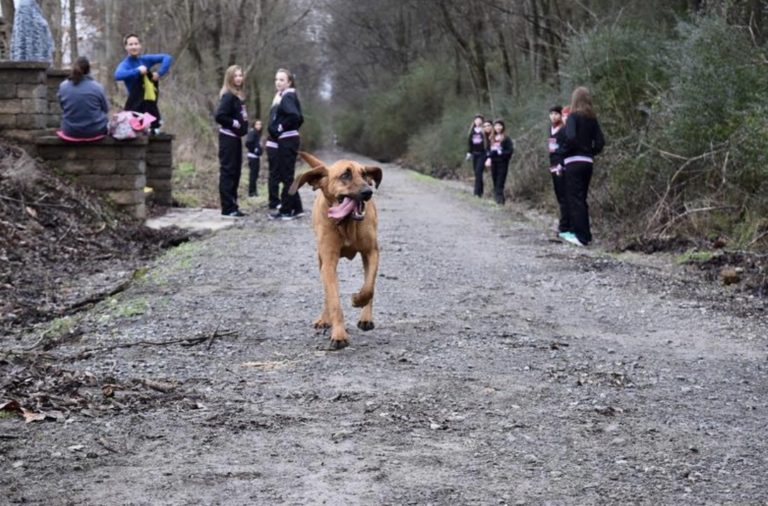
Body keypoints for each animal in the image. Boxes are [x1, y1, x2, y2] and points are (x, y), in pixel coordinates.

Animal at [290, 150, 382, 348]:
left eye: (365, 174)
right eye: (345, 175)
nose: (368, 192)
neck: (346, 224)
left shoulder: (371, 252)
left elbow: (369, 287)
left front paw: (358, 300)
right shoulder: (329, 262)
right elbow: (334, 300)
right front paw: (339, 334)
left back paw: (366, 318)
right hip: (321, 261)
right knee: (327, 293)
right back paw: (325, 319)